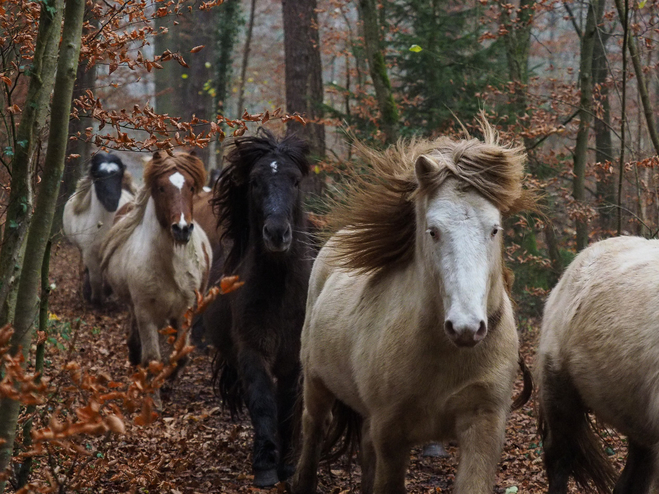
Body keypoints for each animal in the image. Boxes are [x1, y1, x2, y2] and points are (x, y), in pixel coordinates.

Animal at [64, 151, 137, 304]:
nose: (111, 202)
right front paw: (95, 298)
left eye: (118, 176)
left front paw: (106, 293)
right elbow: (95, 279)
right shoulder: (90, 254)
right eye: (98, 176)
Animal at [100, 152, 211, 408]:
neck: (169, 265)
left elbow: (180, 354)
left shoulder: (185, 311)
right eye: (161, 187)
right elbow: (152, 358)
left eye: (191, 187)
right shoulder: (145, 312)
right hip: (134, 306)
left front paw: (169, 381)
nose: (182, 229)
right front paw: (154, 400)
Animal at [202, 129, 314, 488]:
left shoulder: (293, 357)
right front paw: (265, 466)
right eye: (254, 181)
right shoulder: (251, 350)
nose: (277, 233)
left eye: (295, 181)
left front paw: (288, 465)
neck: (279, 295)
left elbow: (287, 404)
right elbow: (263, 403)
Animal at [292, 119, 532, 494]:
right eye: (433, 231)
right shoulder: (392, 434)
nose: (466, 327)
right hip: (316, 383)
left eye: (494, 229)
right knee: (314, 427)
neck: (444, 354)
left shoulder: (484, 426)